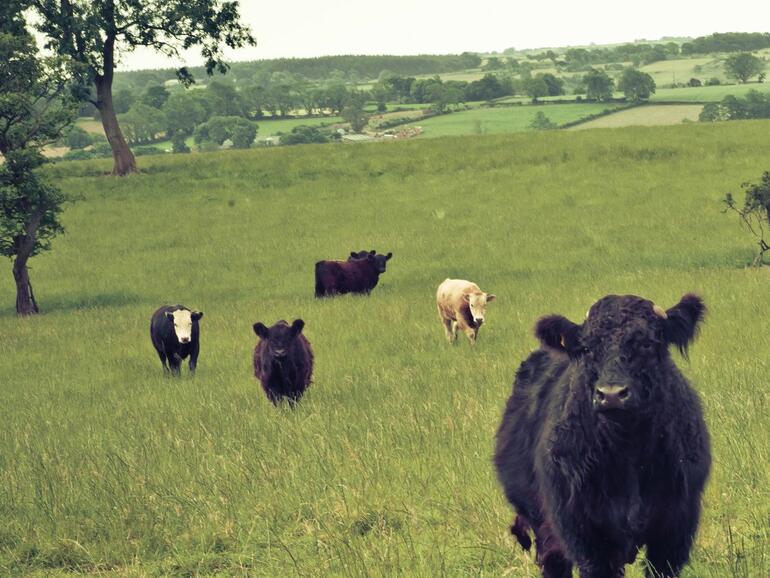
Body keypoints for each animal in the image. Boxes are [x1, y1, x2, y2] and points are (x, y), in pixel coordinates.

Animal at [494, 294, 711, 578]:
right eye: (587, 348)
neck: (628, 450)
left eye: (647, 343)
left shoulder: (674, 531)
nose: (611, 394)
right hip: (542, 524)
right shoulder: (587, 538)